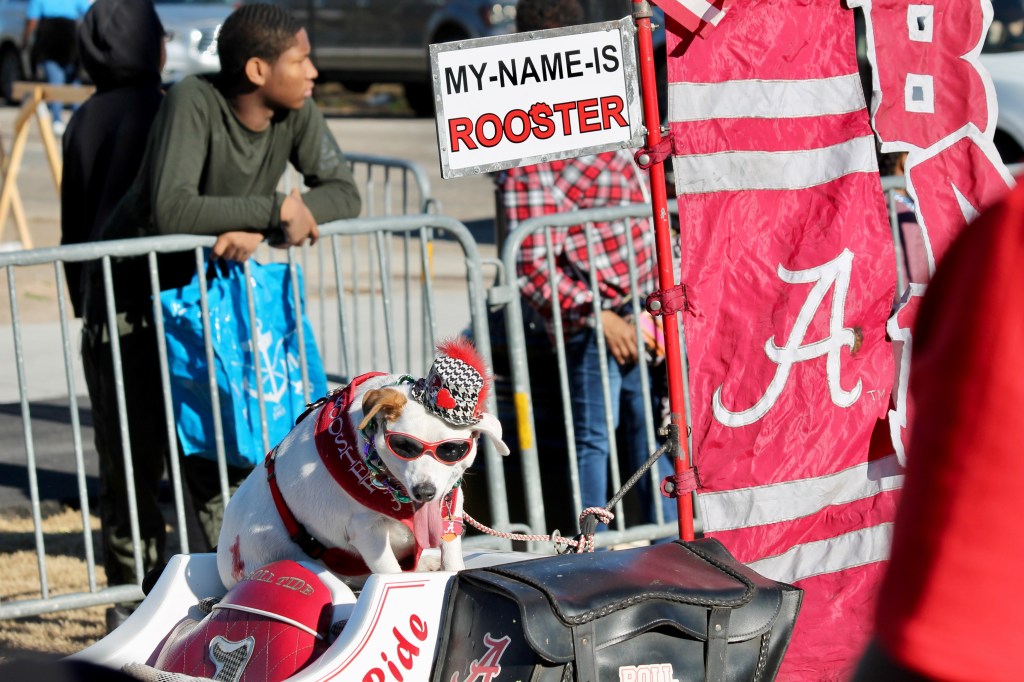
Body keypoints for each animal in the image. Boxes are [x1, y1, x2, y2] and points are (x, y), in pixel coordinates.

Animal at [216, 338, 509, 588]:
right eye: (403, 446)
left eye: (452, 450)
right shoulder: (367, 532)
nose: (424, 492)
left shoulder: (451, 510)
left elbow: (452, 559)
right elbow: (391, 575)